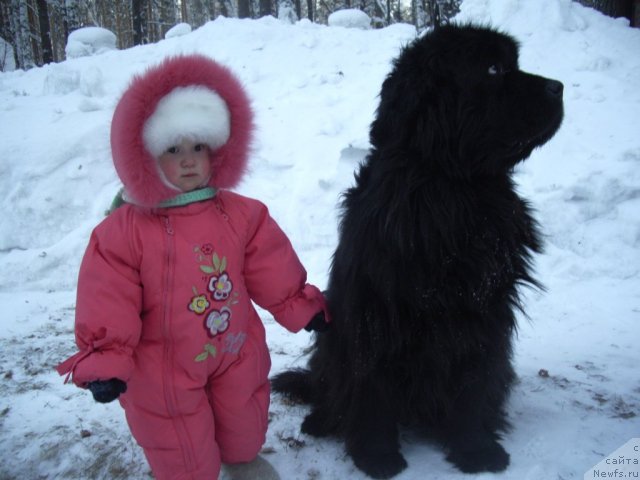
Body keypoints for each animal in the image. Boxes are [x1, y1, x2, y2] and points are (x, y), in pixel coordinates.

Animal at [272, 24, 564, 478]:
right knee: (328, 386)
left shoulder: (482, 313)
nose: (559, 87)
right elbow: (369, 387)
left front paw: (476, 449)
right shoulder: (374, 313)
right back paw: (320, 420)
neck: (450, 191)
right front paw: (377, 455)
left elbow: (473, 382)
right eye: (493, 68)